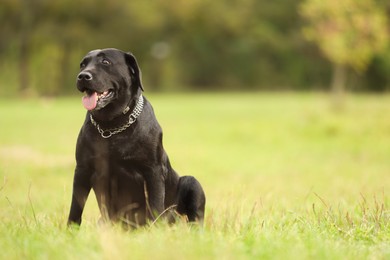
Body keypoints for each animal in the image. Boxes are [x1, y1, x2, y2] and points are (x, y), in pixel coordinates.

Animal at [68, 48, 206, 228]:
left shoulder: (153, 171)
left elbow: (155, 205)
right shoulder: (82, 170)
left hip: (191, 183)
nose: (83, 76)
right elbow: (76, 206)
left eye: (105, 62)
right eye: (83, 64)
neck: (112, 126)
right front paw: (70, 231)